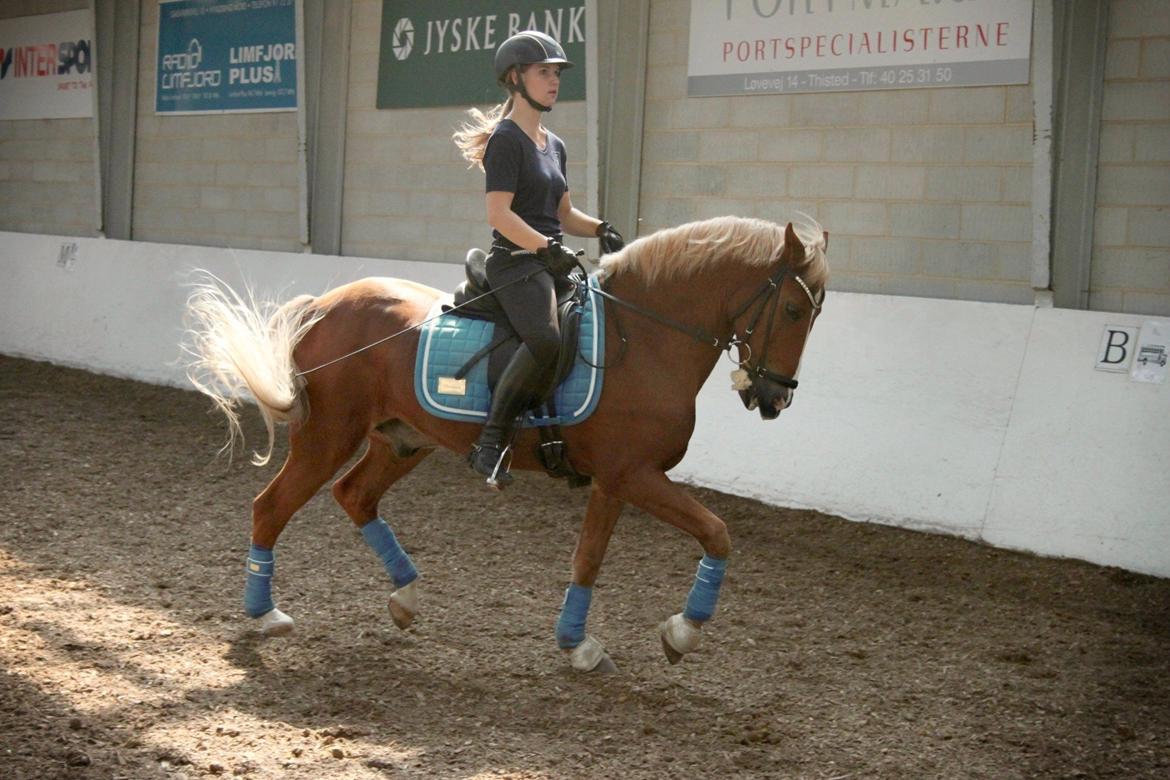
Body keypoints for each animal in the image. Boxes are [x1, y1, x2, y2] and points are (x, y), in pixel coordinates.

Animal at [182, 214, 828, 673]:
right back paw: (266, 615)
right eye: (795, 308)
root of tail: (322, 306)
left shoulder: (617, 481)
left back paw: (406, 596)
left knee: (355, 496)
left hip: (402, 440)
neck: (643, 338)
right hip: (326, 437)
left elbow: (590, 558)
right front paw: (680, 633)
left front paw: (579, 645)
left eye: (815, 314)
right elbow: (715, 534)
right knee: (271, 507)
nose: (774, 398)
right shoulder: (634, 476)